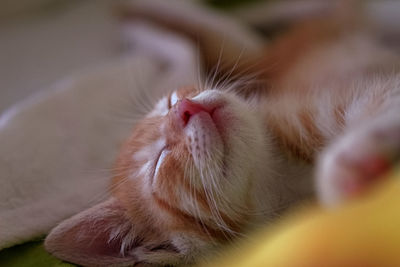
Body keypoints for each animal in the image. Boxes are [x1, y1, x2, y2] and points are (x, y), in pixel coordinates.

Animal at [44, 13, 400, 267]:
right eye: (158, 162)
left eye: (171, 102)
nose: (186, 109)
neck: (282, 181)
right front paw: (352, 172)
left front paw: (350, 160)